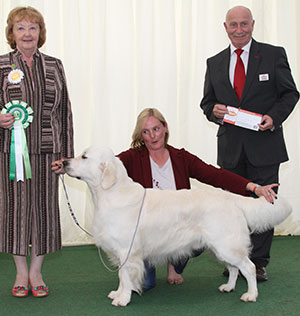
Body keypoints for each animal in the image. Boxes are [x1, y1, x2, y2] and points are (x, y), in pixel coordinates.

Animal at [62, 146, 290, 306]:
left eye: (84, 157)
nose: (63, 162)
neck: (109, 193)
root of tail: (230, 198)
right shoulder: (120, 252)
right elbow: (120, 275)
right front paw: (118, 293)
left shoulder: (128, 251)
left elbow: (126, 276)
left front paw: (123, 298)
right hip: (221, 247)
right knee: (234, 268)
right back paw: (228, 287)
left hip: (226, 244)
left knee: (248, 267)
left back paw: (251, 294)